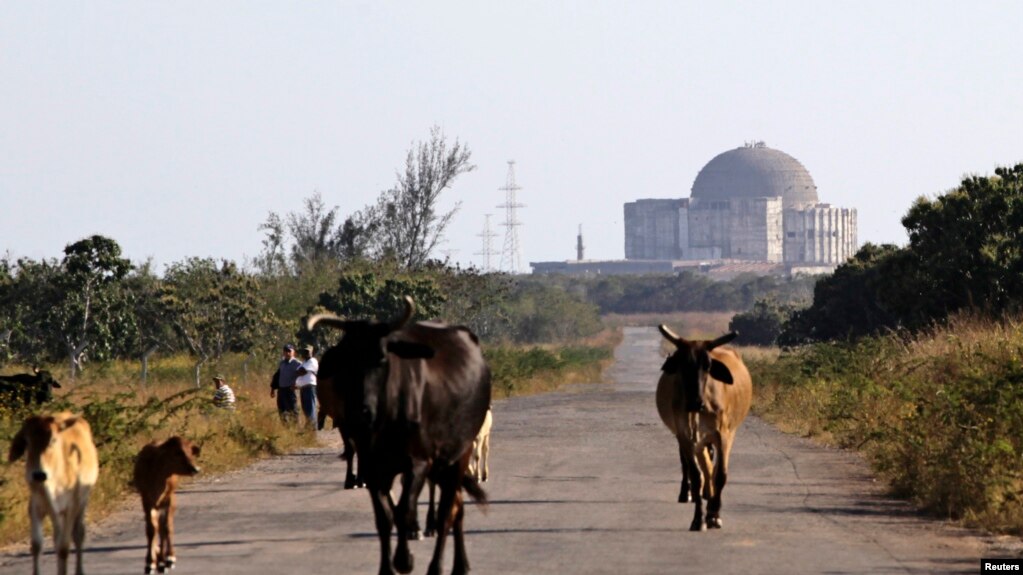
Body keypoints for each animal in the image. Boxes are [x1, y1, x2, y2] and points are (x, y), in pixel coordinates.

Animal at [8, 409, 99, 572]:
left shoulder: (71, 507)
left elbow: (63, 548)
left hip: (83, 501)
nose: (38, 474)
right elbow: (37, 545)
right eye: (27, 442)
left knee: (78, 534)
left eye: (53, 440)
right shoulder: (36, 507)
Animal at [131, 433, 201, 572]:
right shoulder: (146, 499)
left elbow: (167, 527)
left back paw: (164, 561)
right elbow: (151, 530)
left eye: (190, 451)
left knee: (164, 527)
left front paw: (169, 558)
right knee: (158, 527)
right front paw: (150, 563)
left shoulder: (169, 498)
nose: (195, 469)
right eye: (177, 452)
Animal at [306, 294, 491, 572]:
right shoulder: (373, 466)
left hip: (458, 455)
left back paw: (441, 564)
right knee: (454, 506)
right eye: (347, 361)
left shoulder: (418, 462)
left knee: (449, 511)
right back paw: (457, 562)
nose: (361, 410)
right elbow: (385, 516)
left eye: (382, 358)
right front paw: (388, 566)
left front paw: (404, 558)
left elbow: (404, 510)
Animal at [654, 325, 752, 532]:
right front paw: (698, 519)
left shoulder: (723, 435)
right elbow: (696, 474)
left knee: (712, 469)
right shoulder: (685, 436)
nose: (694, 402)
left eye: (707, 366)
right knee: (700, 467)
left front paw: (714, 515)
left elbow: (720, 474)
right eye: (683, 364)